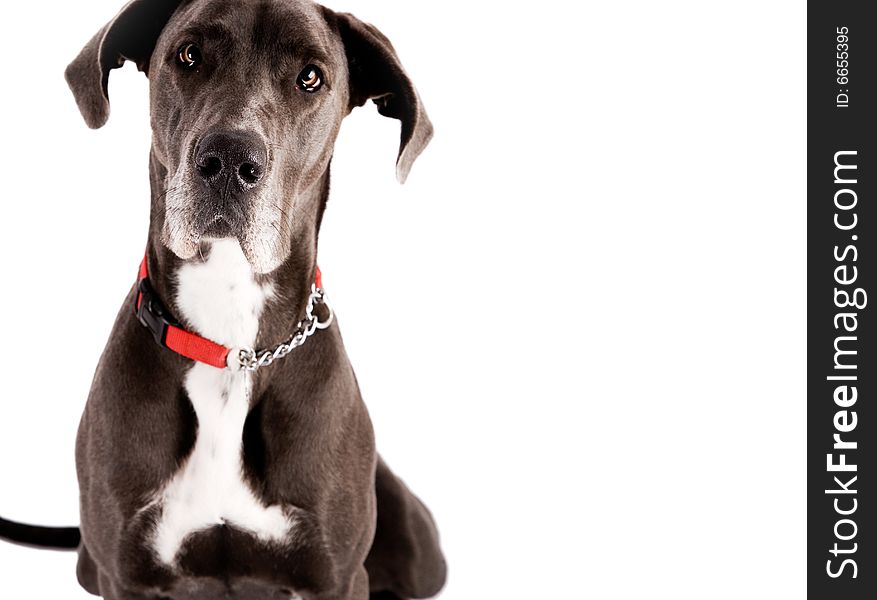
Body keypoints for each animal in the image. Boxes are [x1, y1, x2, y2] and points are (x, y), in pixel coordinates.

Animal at [0, 1, 448, 600]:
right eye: (189, 54)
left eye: (311, 77)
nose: (231, 159)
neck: (230, 345)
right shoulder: (125, 574)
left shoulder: (337, 576)